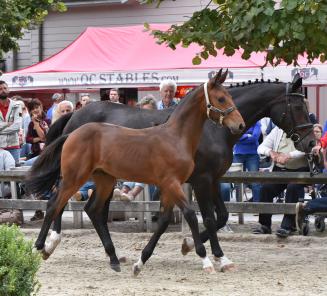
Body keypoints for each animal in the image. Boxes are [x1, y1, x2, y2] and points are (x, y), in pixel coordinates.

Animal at [30, 73, 316, 272]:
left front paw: (195, 248)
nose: (311, 143)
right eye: (298, 107)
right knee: (59, 200)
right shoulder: (200, 180)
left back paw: (112, 257)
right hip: (81, 174)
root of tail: (74, 116)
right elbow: (208, 218)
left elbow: (220, 216)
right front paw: (209, 254)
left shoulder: (213, 180)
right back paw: (49, 244)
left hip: (105, 178)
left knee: (92, 210)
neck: (210, 130)